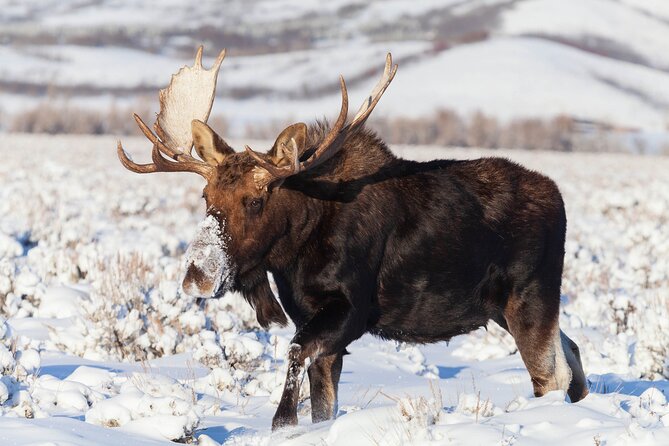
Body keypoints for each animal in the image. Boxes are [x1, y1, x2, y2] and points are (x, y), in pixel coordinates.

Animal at [117, 47, 588, 430]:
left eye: (255, 199)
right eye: (206, 196)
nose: (196, 276)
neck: (295, 250)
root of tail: (559, 197)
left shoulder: (349, 309)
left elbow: (295, 357)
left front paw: (282, 422)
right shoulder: (309, 315)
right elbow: (322, 401)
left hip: (530, 298)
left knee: (551, 375)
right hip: (512, 308)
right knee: (573, 351)